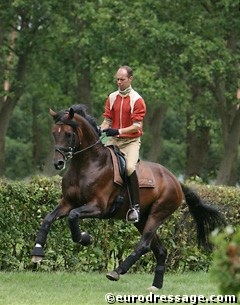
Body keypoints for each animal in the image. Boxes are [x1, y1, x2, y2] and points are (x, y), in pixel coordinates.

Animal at [31, 104, 224, 290]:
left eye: (69, 134)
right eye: (54, 133)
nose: (58, 163)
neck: (87, 165)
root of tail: (175, 180)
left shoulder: (98, 207)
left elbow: (73, 216)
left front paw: (85, 238)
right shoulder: (67, 203)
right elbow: (48, 219)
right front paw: (37, 252)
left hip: (157, 214)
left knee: (144, 245)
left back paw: (117, 271)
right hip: (142, 219)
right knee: (160, 250)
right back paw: (155, 286)